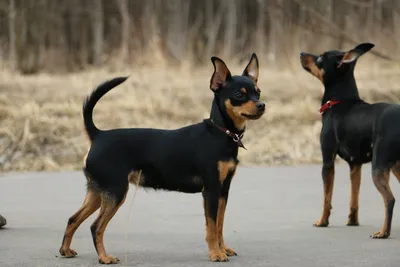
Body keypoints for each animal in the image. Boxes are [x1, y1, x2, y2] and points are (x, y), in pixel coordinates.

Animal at [58, 54, 266, 264]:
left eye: (258, 92)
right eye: (239, 95)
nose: (261, 105)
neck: (220, 132)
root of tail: (98, 135)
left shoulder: (223, 191)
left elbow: (220, 224)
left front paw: (223, 249)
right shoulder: (211, 190)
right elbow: (212, 227)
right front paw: (216, 253)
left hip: (98, 192)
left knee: (73, 219)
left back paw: (65, 250)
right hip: (115, 192)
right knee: (96, 226)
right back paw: (104, 257)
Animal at [300, 43, 400, 240]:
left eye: (320, 58)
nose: (301, 53)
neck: (339, 101)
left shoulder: (327, 161)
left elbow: (326, 198)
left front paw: (322, 221)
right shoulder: (355, 165)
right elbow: (354, 198)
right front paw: (352, 221)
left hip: (379, 166)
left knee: (389, 199)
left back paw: (383, 232)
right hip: (395, 167)